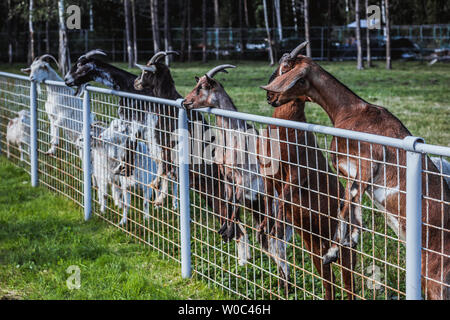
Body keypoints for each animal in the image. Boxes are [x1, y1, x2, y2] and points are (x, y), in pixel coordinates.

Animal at [183, 63, 268, 266]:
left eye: (202, 86)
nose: (185, 102)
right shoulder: (226, 176)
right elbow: (229, 201)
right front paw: (224, 229)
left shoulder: (243, 177)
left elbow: (235, 202)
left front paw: (228, 232)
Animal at [256, 41, 356, 298]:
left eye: (286, 68)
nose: (270, 96)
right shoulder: (269, 172)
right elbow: (271, 197)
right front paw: (263, 228)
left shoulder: (297, 172)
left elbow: (284, 197)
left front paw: (277, 227)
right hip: (313, 241)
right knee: (328, 277)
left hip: (339, 241)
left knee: (348, 277)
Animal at [262, 53, 450, 300]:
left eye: (285, 68)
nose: (269, 97)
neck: (350, 111)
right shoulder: (350, 172)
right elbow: (349, 202)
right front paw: (349, 238)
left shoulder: (370, 160)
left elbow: (346, 204)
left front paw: (334, 250)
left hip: (437, 277)